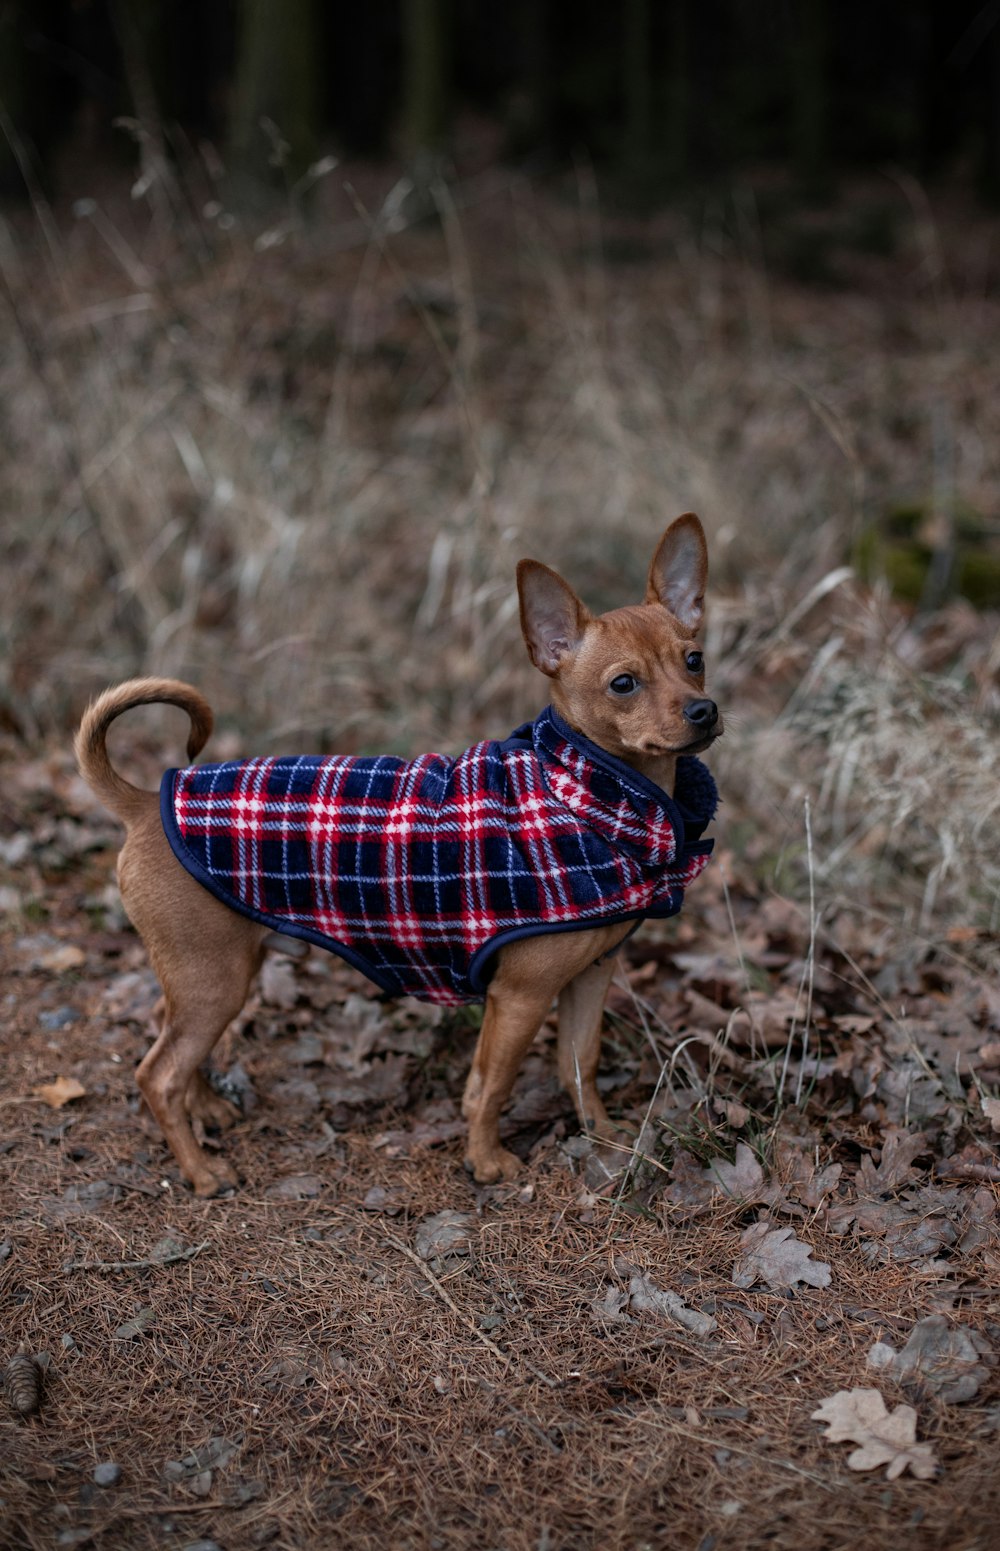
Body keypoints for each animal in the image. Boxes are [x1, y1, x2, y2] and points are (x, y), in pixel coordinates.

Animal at [75, 514, 716, 1191]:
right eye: (623, 684)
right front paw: (485, 1160)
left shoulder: (590, 977)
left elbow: (580, 1062)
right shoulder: (519, 998)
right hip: (214, 982)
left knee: (166, 1039)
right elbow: (489, 1086)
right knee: (157, 1073)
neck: (580, 789)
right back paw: (201, 1171)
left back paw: (207, 1109)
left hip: (204, 979)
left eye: (694, 660)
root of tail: (143, 802)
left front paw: (603, 1135)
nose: (705, 709)